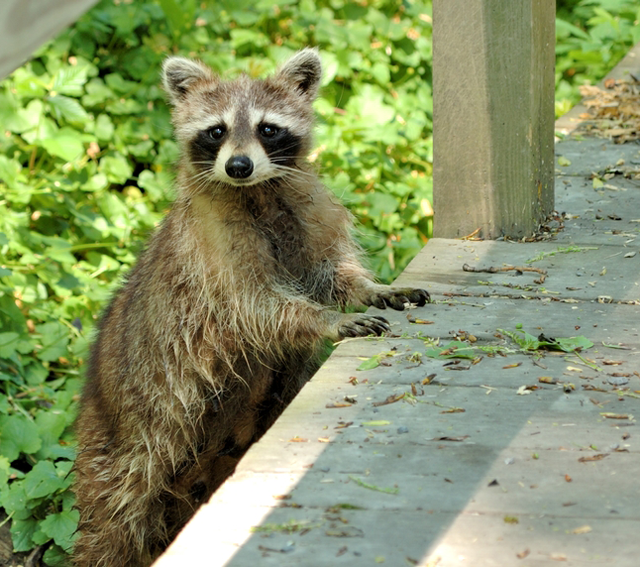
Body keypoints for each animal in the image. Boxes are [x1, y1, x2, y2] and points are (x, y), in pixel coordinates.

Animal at [71, 50, 430, 567]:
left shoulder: (309, 216)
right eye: (216, 130)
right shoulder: (212, 253)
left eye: (267, 128)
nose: (238, 165)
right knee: (114, 519)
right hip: (128, 438)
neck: (258, 192)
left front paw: (369, 288)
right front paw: (324, 319)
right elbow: (257, 307)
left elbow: (332, 274)